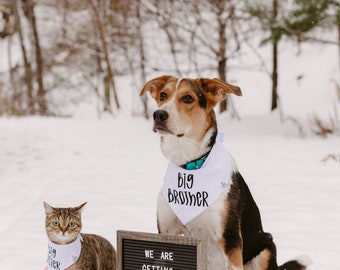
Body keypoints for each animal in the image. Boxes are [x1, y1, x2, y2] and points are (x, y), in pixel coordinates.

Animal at [139, 76, 310, 270]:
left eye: (188, 98)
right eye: (163, 95)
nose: (158, 115)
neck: (190, 165)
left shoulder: (230, 239)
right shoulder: (166, 231)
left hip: (266, 247)